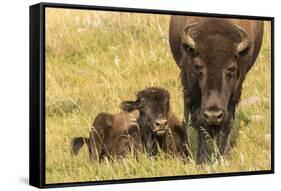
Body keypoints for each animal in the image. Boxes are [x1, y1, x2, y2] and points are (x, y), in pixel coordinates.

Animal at [168, 16, 262, 163]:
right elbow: (199, 121)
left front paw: (223, 156)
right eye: (198, 67)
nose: (213, 115)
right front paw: (203, 159)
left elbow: (227, 121)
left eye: (231, 68)